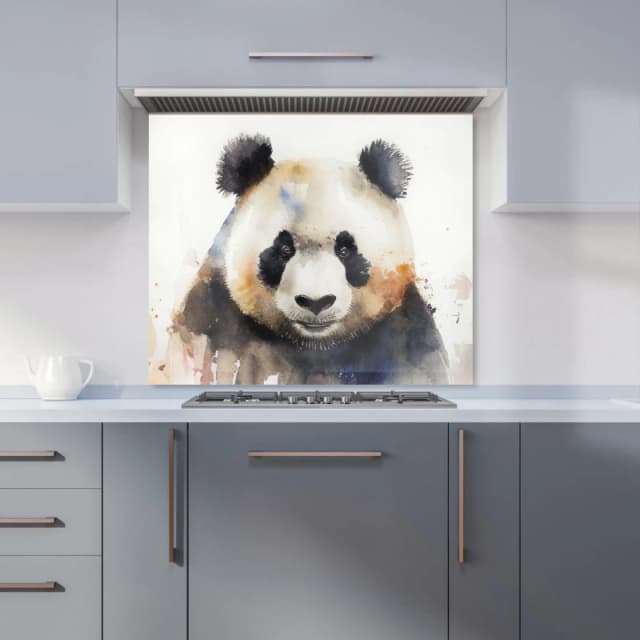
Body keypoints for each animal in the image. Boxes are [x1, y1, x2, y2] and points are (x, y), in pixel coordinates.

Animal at [169, 134, 449, 385]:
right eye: (283, 249)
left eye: (345, 250)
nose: (316, 302)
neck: (315, 348)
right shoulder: (215, 317)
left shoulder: (400, 331)